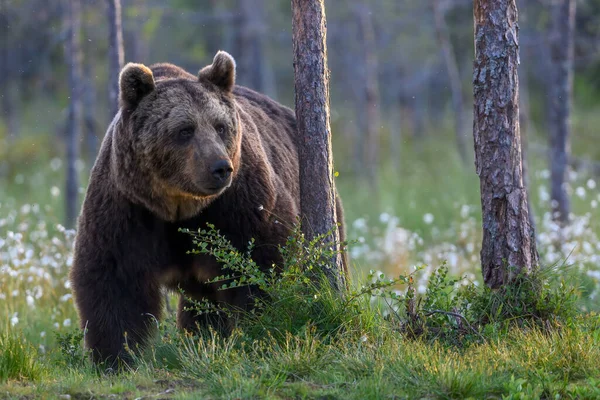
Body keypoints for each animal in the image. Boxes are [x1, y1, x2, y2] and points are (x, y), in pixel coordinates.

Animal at [69, 50, 346, 366]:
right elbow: (116, 281)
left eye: (220, 126)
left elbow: (260, 264)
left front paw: (261, 326)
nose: (220, 167)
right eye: (184, 130)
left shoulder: (240, 206)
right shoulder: (128, 207)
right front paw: (115, 357)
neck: (178, 205)